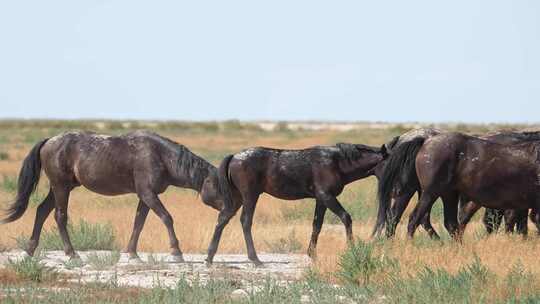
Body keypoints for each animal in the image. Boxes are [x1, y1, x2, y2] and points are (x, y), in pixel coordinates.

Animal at [0, 131, 228, 262]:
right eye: (220, 186)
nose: (228, 210)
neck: (161, 156)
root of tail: (49, 141)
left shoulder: (145, 196)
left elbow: (139, 222)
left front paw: (132, 253)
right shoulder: (148, 194)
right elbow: (167, 218)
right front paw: (176, 251)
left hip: (58, 188)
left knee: (41, 212)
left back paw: (30, 250)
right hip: (61, 187)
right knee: (60, 217)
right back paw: (72, 254)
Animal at [205, 144, 386, 264]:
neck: (337, 162)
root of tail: (234, 156)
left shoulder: (321, 200)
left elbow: (317, 225)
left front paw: (312, 254)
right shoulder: (327, 196)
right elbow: (346, 217)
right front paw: (352, 250)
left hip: (237, 198)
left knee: (222, 219)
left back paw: (210, 257)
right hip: (250, 196)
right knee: (245, 221)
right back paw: (255, 259)